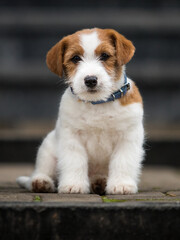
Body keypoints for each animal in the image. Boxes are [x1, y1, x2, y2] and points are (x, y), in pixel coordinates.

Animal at [16, 29, 143, 196]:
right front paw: (73, 185)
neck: (97, 103)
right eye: (75, 58)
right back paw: (41, 182)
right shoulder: (72, 137)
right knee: (42, 171)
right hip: (47, 149)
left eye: (104, 56)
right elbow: (75, 161)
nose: (90, 80)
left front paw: (121, 184)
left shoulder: (128, 137)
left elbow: (122, 161)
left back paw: (99, 181)